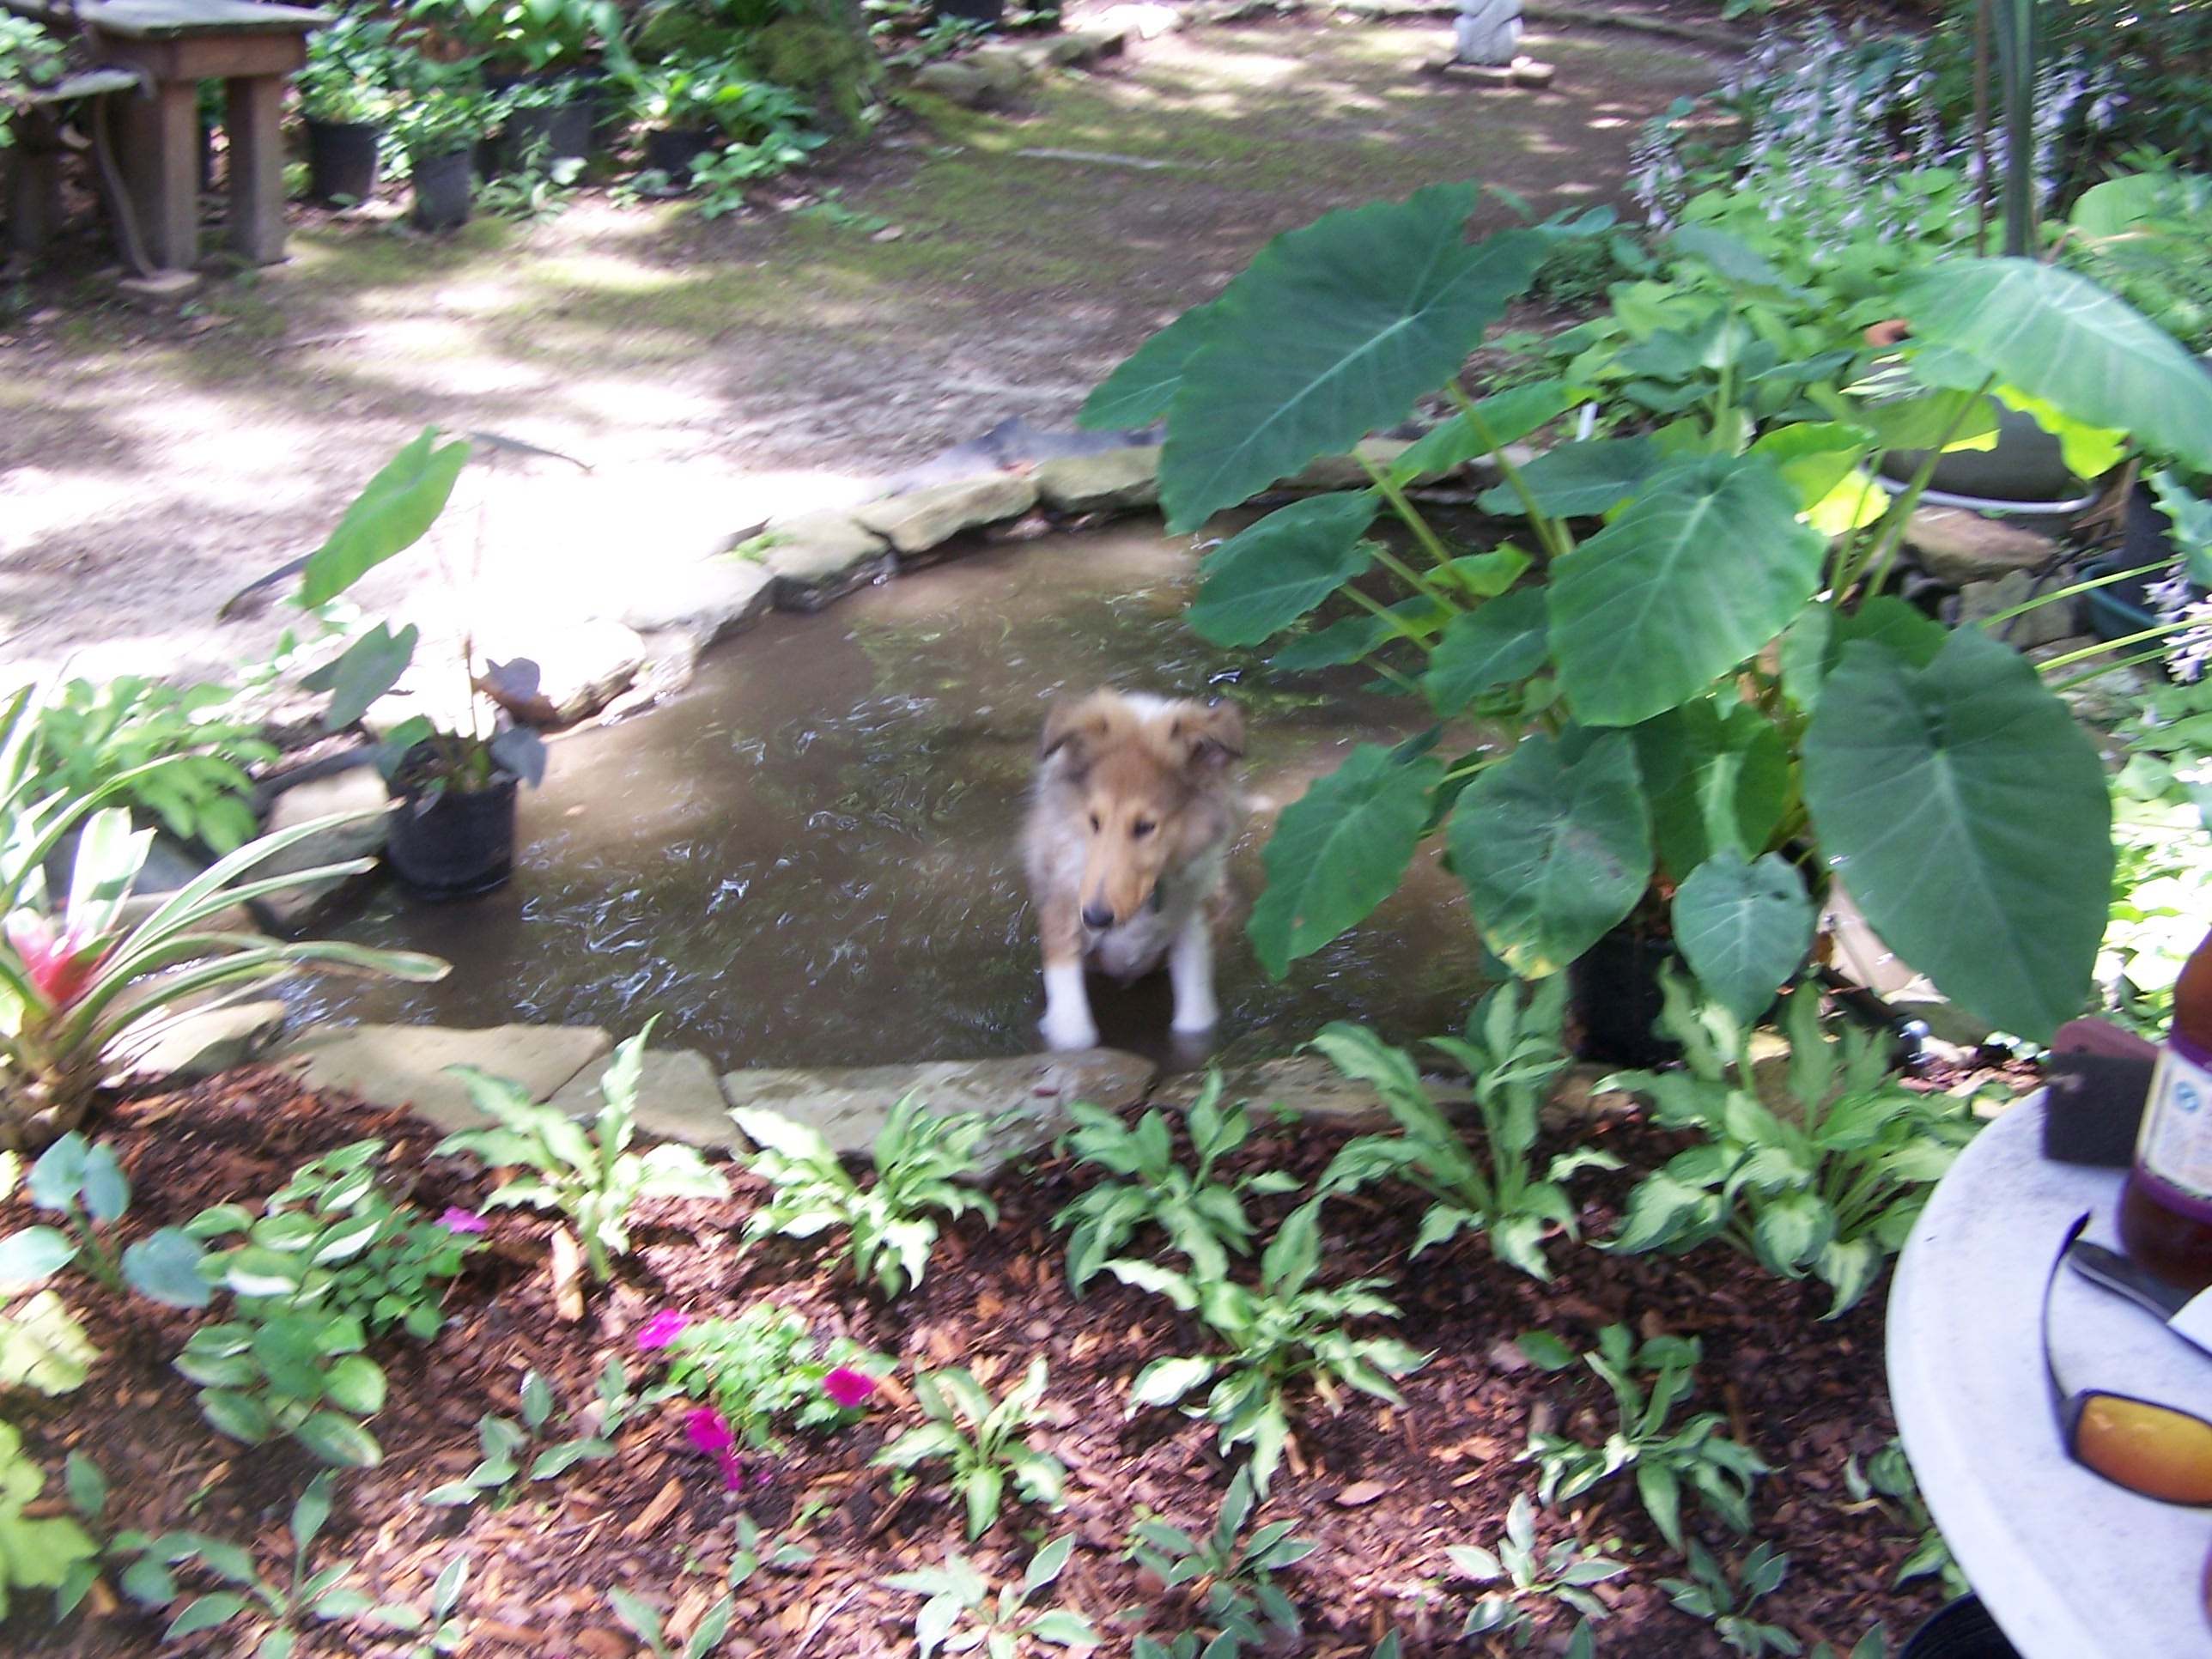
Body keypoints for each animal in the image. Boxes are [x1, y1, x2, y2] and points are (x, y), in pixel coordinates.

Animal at [1022, 690, 1244, 1051]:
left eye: (1145, 827)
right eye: (1094, 820)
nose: (1096, 917)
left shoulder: (1192, 926)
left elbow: (1196, 1021)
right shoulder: (1062, 918)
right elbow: (1074, 1033)